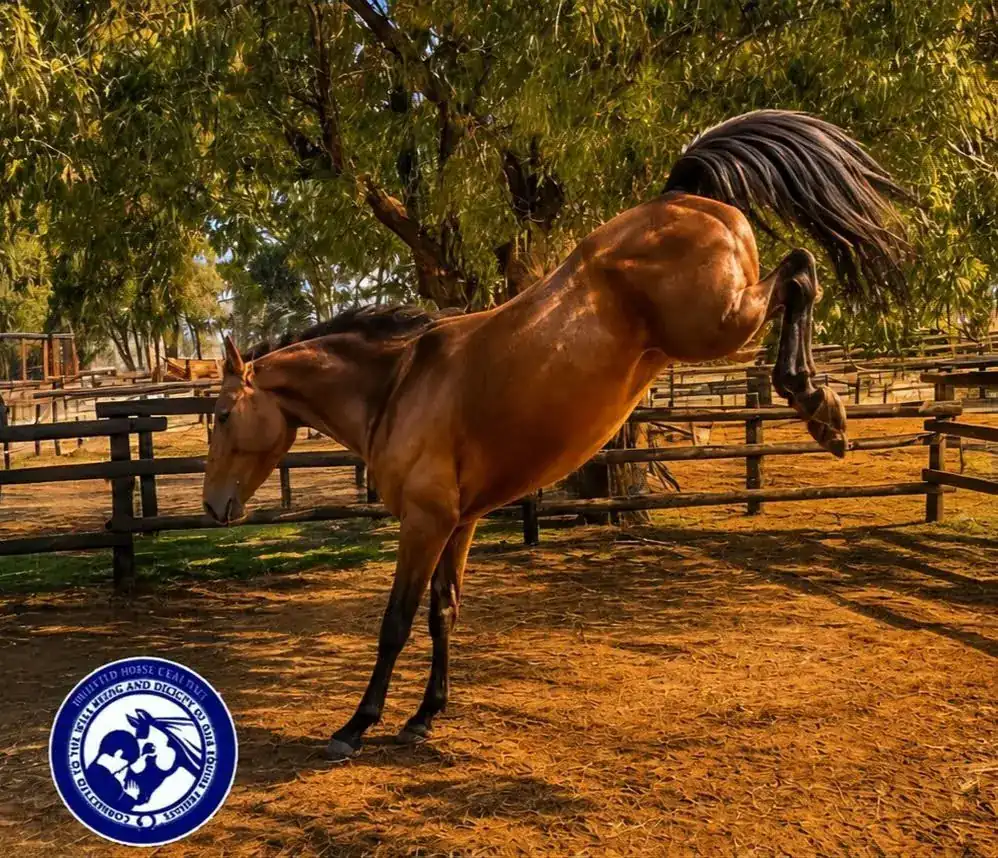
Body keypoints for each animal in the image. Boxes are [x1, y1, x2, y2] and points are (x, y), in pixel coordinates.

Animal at [202, 110, 910, 761]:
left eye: (221, 414)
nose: (213, 506)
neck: (397, 385)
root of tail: (678, 195)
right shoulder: (459, 523)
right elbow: (443, 613)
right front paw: (426, 716)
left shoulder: (425, 523)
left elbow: (396, 622)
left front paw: (356, 726)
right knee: (799, 274)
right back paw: (823, 409)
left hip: (719, 324)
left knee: (799, 272)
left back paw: (819, 406)